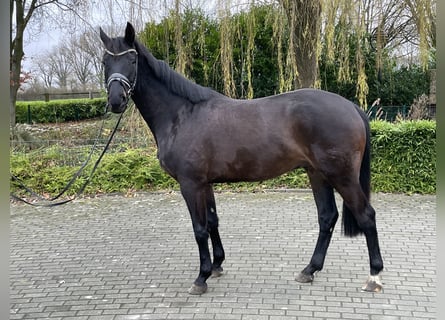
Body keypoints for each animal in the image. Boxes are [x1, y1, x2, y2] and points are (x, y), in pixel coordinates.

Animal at [99, 21, 382, 294]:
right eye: (105, 62)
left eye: (132, 60)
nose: (116, 100)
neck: (182, 114)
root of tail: (352, 107)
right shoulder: (205, 184)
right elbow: (212, 222)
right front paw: (216, 266)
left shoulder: (190, 184)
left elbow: (199, 229)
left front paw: (201, 278)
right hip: (317, 174)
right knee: (327, 217)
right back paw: (309, 270)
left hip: (341, 176)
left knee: (366, 215)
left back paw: (374, 277)